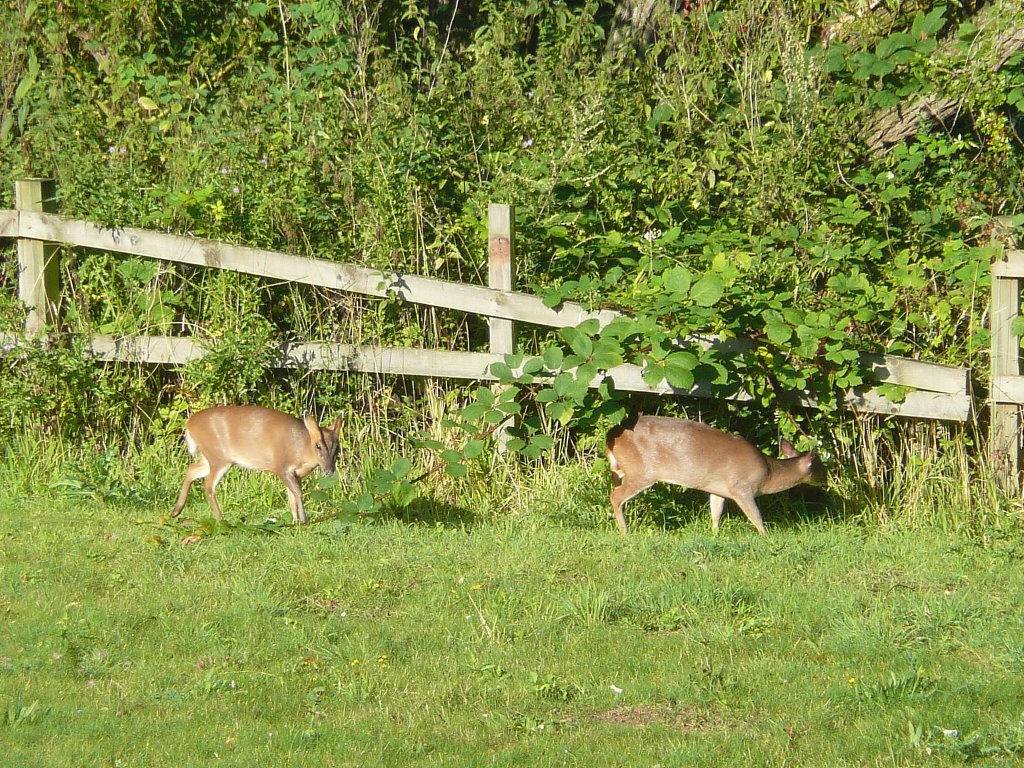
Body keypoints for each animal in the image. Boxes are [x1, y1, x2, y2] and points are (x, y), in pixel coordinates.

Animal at [169, 405, 342, 528]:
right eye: (318, 446)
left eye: (337, 447)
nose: (329, 471)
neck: (302, 448)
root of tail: (189, 424)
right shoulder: (281, 466)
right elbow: (298, 493)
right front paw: (303, 520)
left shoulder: (295, 474)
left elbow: (291, 496)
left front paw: (295, 521)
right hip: (218, 457)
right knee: (208, 485)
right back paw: (222, 521)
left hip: (211, 457)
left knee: (192, 469)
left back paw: (176, 511)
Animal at [602, 415, 827, 536]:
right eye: (821, 467)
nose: (826, 481)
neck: (768, 473)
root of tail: (610, 437)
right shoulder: (741, 487)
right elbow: (756, 516)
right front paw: (767, 536)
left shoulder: (718, 489)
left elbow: (716, 513)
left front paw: (714, 534)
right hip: (641, 471)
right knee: (615, 495)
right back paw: (625, 532)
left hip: (624, 469)